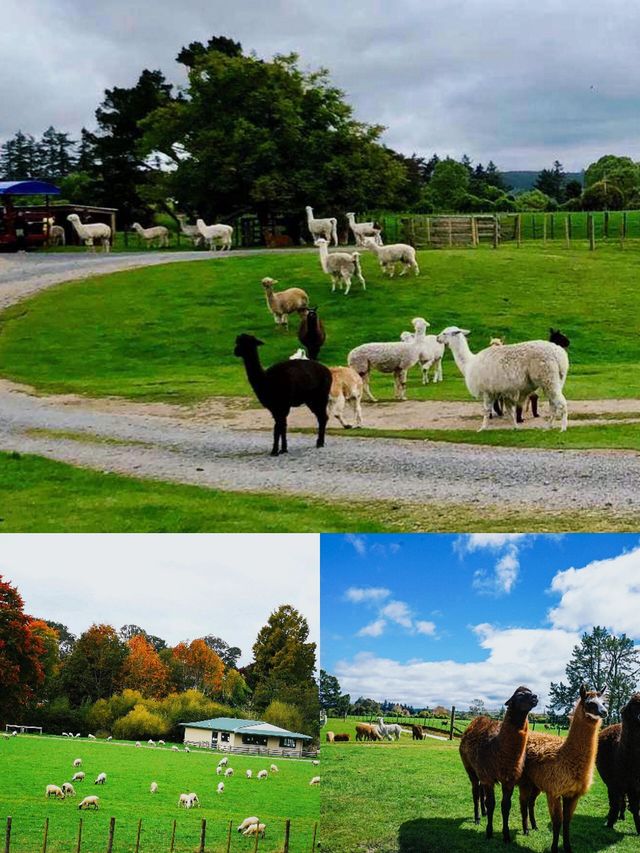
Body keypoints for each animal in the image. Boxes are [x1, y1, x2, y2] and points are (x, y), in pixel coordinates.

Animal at [438, 326, 568, 432]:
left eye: (444, 333)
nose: (437, 338)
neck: (469, 363)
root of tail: (560, 355)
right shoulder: (504, 391)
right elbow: (510, 411)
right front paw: (515, 427)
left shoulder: (487, 389)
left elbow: (487, 410)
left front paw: (482, 428)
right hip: (555, 381)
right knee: (553, 405)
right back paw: (548, 427)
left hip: (548, 378)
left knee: (561, 404)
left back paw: (562, 428)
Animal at [460, 684, 540, 844]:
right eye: (519, 695)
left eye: (531, 692)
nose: (535, 697)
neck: (497, 747)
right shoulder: (489, 777)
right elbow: (491, 804)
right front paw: (489, 832)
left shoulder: (509, 779)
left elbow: (506, 806)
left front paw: (506, 835)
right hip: (469, 766)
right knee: (475, 791)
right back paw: (477, 818)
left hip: (481, 770)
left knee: (480, 790)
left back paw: (483, 814)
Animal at [516, 684, 608, 852]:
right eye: (590, 703)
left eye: (604, 703)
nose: (604, 712)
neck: (565, 756)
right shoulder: (554, 791)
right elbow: (557, 822)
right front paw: (554, 848)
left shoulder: (572, 794)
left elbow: (567, 822)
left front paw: (567, 847)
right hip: (525, 780)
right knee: (523, 802)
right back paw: (526, 830)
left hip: (536, 783)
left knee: (531, 802)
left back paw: (534, 826)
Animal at [596, 692, 636, 832]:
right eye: (632, 708)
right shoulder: (614, 783)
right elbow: (615, 804)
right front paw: (610, 823)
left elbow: (636, 807)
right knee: (618, 801)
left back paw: (622, 815)